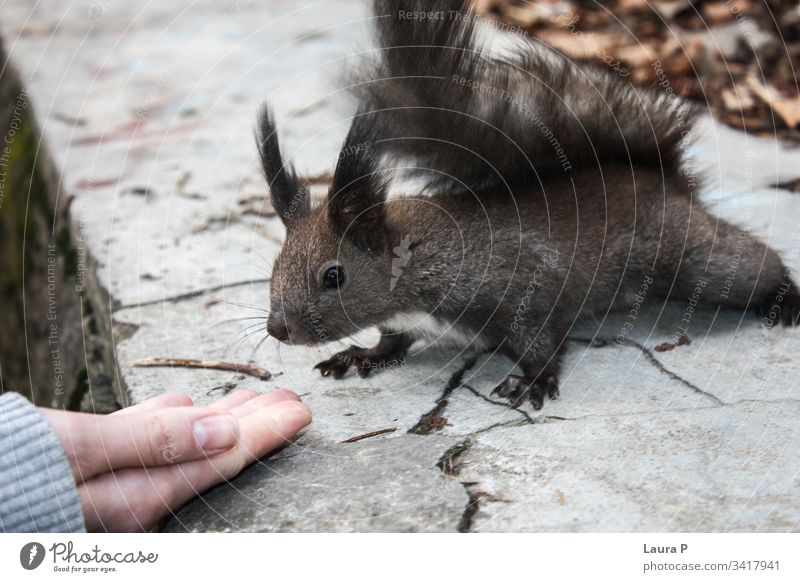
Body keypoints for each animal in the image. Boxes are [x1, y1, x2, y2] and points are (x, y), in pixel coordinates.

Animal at [258, 0, 800, 410]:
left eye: (334, 276)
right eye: (274, 265)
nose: (277, 330)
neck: (415, 265)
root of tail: (661, 176)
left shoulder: (521, 286)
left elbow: (541, 339)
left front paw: (532, 380)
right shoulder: (406, 320)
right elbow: (391, 341)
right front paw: (361, 355)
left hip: (684, 256)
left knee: (746, 264)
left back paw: (784, 298)